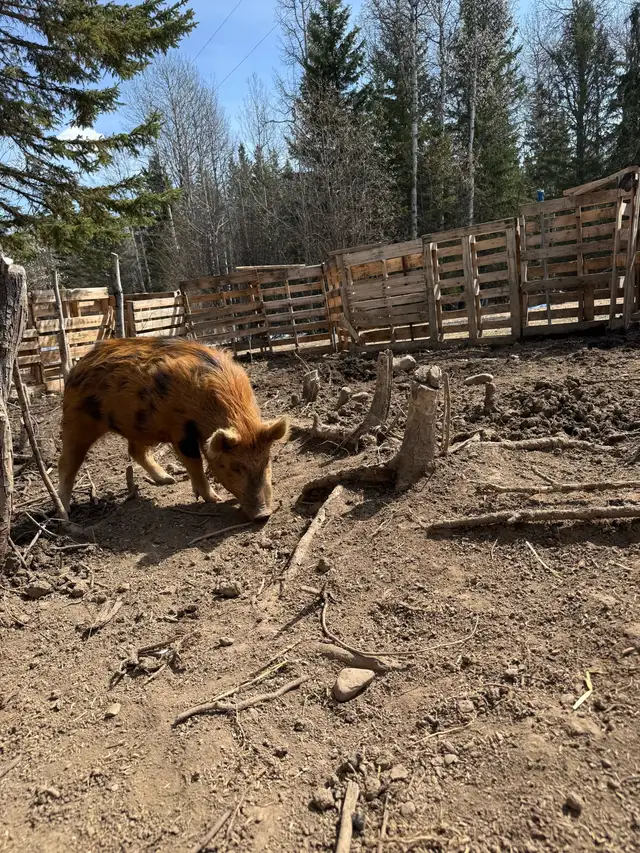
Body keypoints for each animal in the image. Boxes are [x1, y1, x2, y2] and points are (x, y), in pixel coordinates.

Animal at [57, 337, 289, 520]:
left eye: (267, 461)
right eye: (234, 467)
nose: (263, 515)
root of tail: (76, 368)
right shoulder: (180, 431)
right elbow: (195, 463)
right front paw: (214, 499)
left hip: (140, 426)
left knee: (135, 450)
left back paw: (168, 479)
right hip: (76, 419)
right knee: (66, 462)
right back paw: (65, 512)